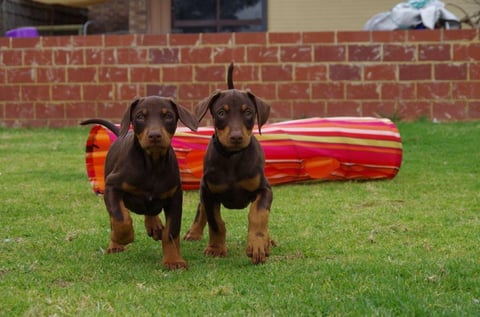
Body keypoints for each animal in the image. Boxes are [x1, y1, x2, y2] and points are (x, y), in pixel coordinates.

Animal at [81, 96, 198, 270]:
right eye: (140, 116)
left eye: (168, 116)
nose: (155, 135)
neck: (152, 165)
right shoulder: (112, 186)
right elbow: (120, 217)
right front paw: (122, 237)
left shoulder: (175, 196)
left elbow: (171, 232)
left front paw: (173, 260)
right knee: (114, 217)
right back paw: (115, 245)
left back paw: (154, 226)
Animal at [185, 64, 274, 264]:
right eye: (221, 112)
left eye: (248, 112)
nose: (236, 137)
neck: (232, 158)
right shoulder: (208, 191)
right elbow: (215, 222)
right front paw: (216, 249)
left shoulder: (265, 189)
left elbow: (258, 214)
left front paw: (258, 244)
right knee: (201, 208)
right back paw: (193, 232)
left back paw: (268, 240)